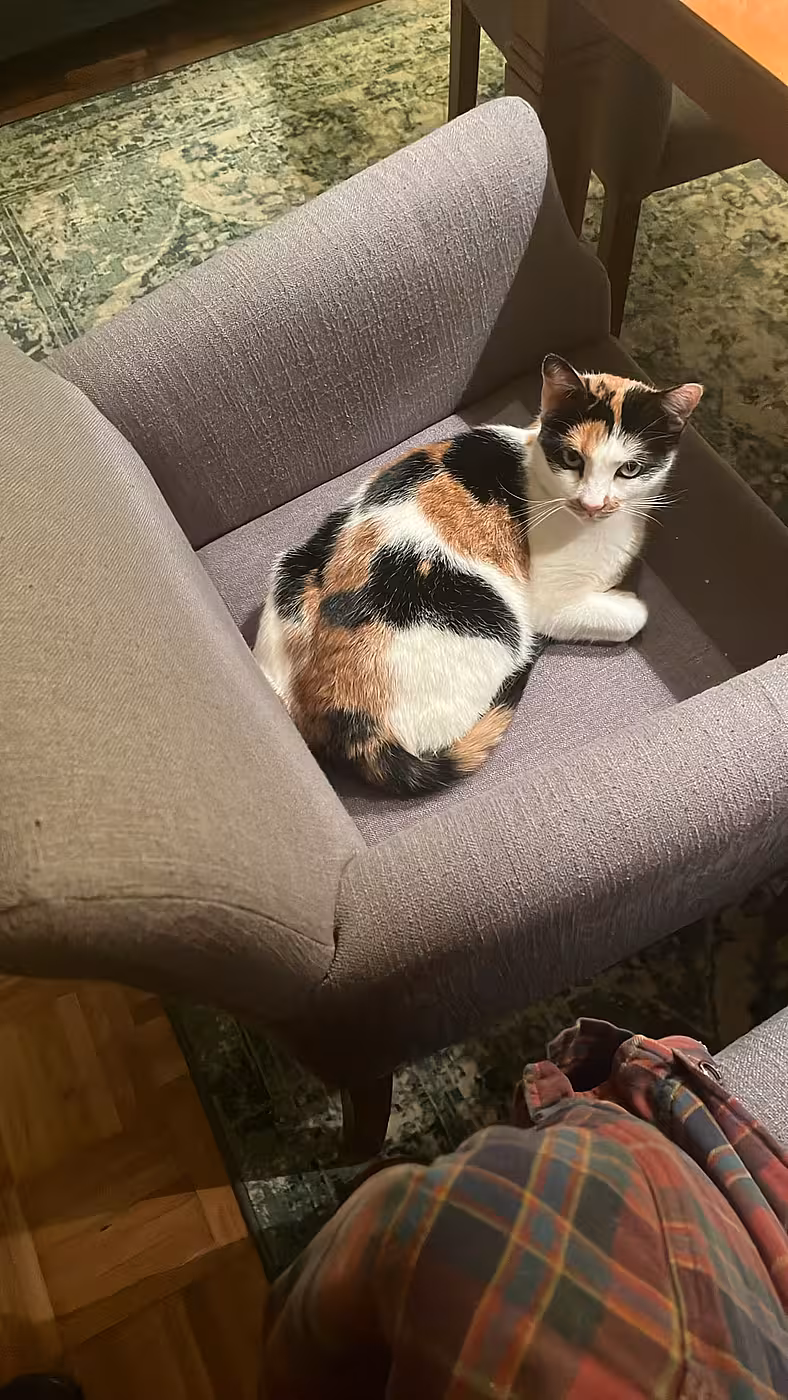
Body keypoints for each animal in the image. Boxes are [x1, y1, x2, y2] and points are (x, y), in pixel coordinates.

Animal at [254, 354, 702, 795]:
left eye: (630, 469)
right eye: (573, 459)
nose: (593, 504)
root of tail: (345, 723)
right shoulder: (549, 605)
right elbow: (634, 616)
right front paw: (626, 597)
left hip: (292, 563)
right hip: (501, 621)